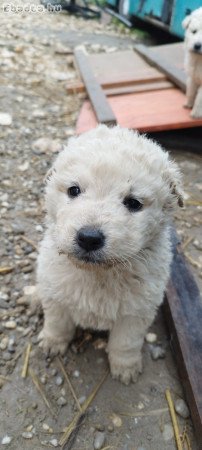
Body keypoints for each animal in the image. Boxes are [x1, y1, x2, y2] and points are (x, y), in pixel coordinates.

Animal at [36, 125, 183, 384]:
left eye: (133, 203)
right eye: (74, 190)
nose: (89, 237)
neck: (99, 274)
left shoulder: (137, 311)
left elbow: (126, 343)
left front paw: (126, 368)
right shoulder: (55, 293)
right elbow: (57, 322)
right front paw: (52, 343)